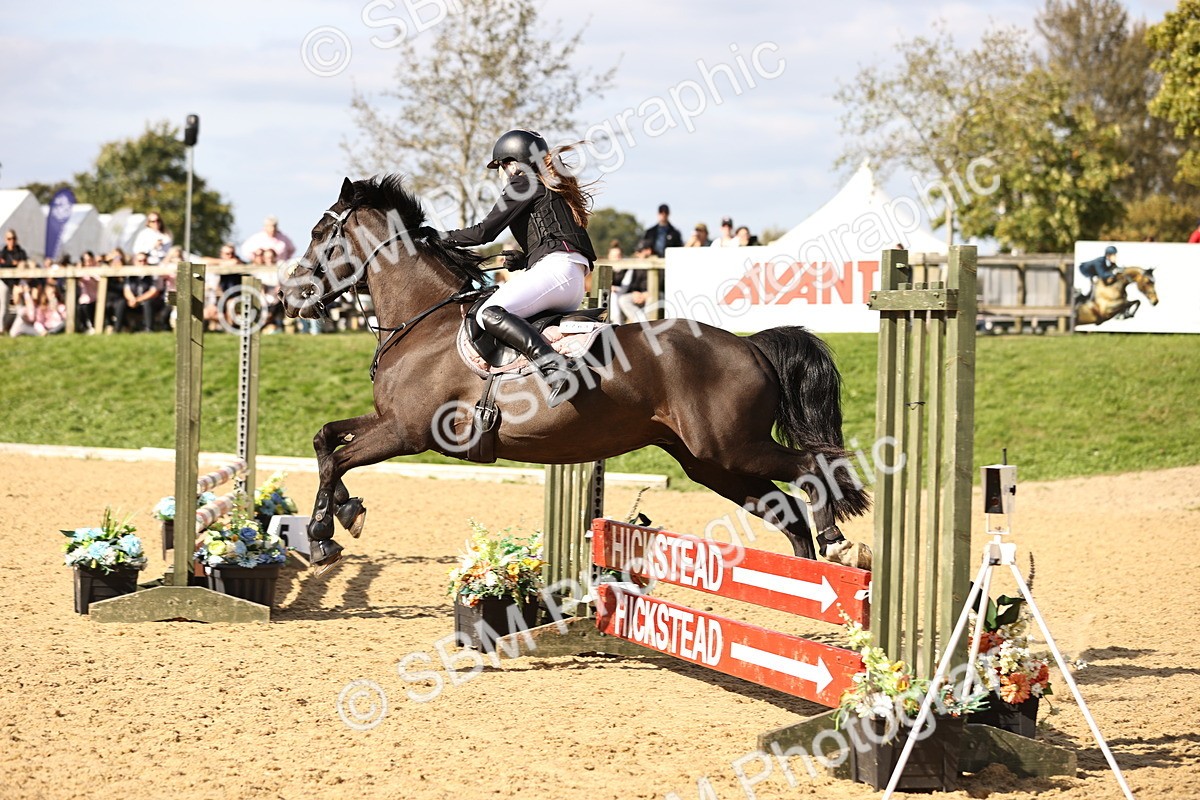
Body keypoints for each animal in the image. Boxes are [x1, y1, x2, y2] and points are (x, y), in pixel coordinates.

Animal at [280, 175, 872, 575]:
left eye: (320, 233)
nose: (290, 296)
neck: (424, 319)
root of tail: (748, 345)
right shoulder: (387, 420)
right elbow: (325, 441)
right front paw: (346, 513)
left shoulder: (407, 431)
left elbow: (337, 459)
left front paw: (322, 534)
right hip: (709, 462)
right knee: (788, 512)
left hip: (731, 448)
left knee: (812, 468)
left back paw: (836, 541)